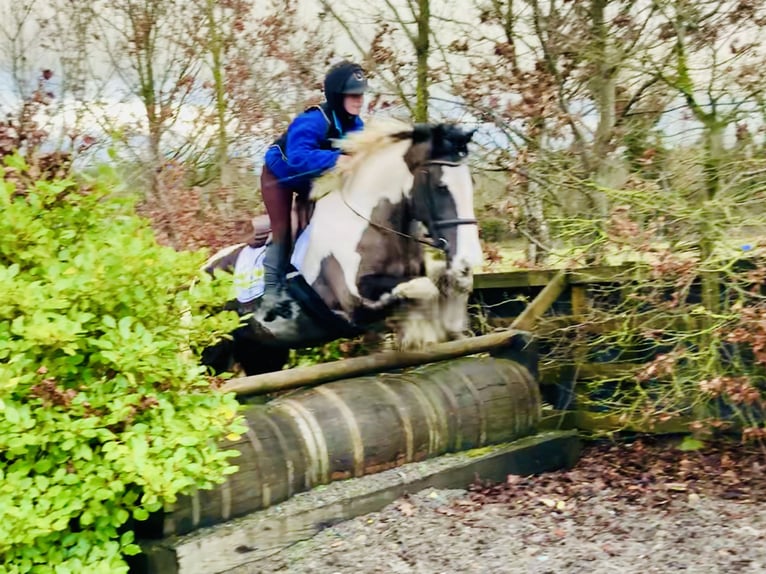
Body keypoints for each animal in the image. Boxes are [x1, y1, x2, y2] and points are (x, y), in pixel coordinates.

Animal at [201, 119, 484, 378]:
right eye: (441, 187)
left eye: (471, 184)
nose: (468, 259)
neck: (374, 223)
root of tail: (201, 273)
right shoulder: (354, 300)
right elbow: (423, 288)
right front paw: (419, 332)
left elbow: (444, 279)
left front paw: (453, 322)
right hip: (214, 352)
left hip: (263, 353)